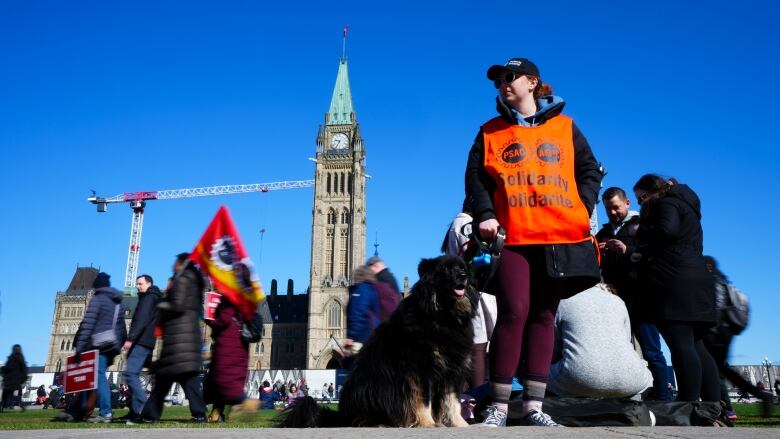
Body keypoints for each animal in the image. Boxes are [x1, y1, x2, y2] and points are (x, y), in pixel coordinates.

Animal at [280, 256, 476, 428]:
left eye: (462, 268)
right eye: (445, 269)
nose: (463, 276)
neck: (443, 314)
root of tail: (340, 416)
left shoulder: (452, 369)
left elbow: (453, 402)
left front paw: (460, 424)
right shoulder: (421, 368)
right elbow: (423, 401)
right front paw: (427, 423)